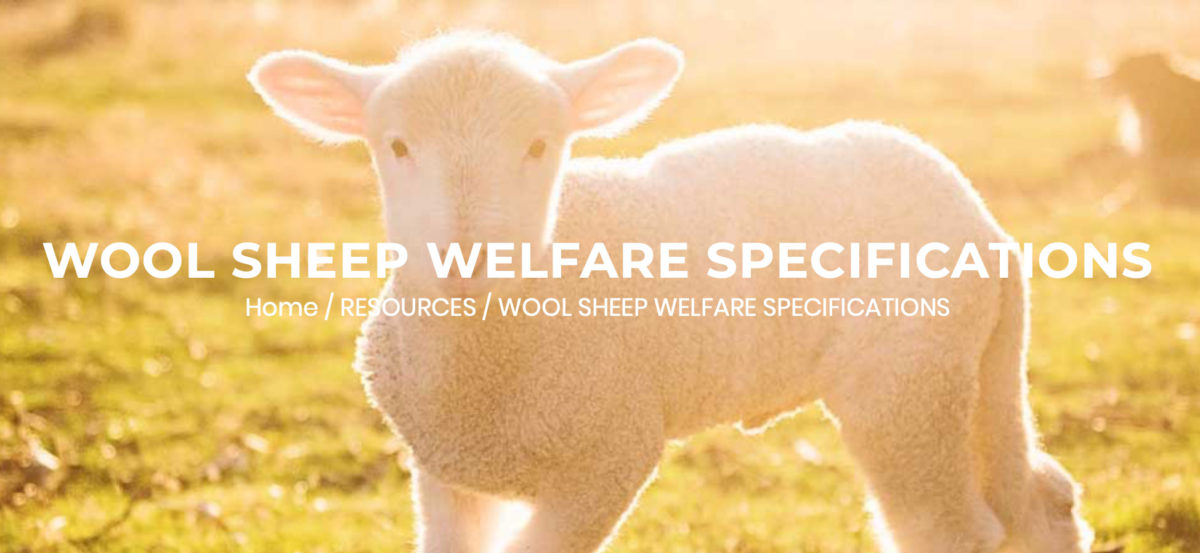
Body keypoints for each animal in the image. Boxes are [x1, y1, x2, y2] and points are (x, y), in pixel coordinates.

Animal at [248, 32, 1093, 553]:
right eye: (395, 145)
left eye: (540, 145)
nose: (469, 254)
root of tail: (983, 221)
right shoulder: (443, 473)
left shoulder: (610, 454)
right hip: (972, 370)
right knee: (1037, 497)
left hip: (906, 383)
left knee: (947, 528)